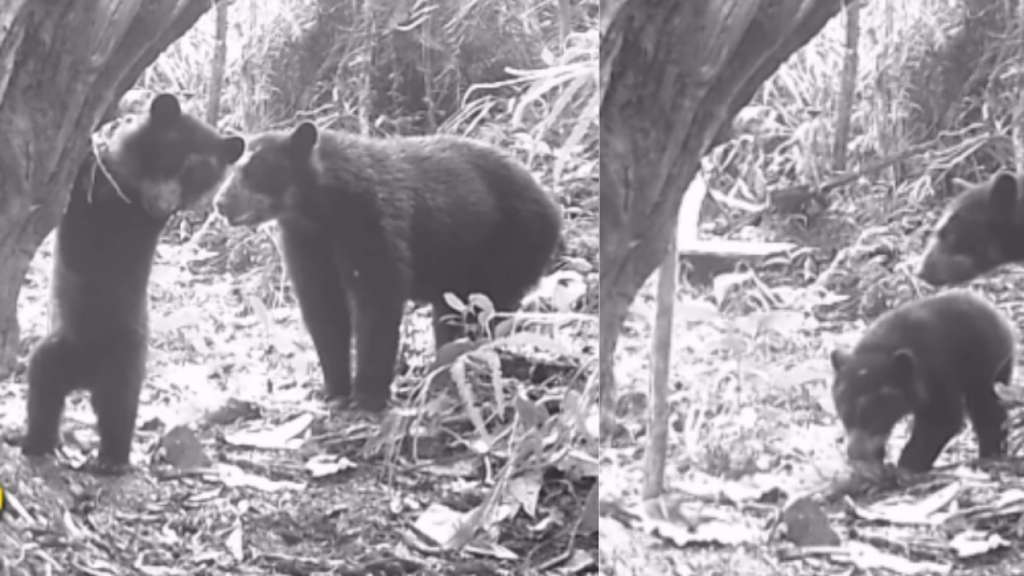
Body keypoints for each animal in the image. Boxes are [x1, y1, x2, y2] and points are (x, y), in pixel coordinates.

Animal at [21, 93, 245, 475]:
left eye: (198, 177)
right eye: (169, 159)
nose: (163, 205)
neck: (132, 189)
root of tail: (86, 374)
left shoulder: (125, 224)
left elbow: (89, 230)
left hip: (125, 357)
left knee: (118, 406)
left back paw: (111, 459)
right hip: (62, 348)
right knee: (44, 387)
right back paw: (40, 443)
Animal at [213, 122, 562, 412]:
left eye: (259, 167)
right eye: (233, 169)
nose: (220, 203)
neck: (320, 211)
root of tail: (552, 206)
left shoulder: (373, 220)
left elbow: (377, 300)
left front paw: (367, 395)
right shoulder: (306, 243)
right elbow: (323, 308)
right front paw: (334, 390)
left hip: (510, 245)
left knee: (488, 313)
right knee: (449, 318)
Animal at [829, 291, 1014, 473]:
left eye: (872, 417)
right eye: (844, 416)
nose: (855, 454)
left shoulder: (939, 371)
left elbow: (942, 418)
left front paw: (907, 465)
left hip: (986, 363)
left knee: (986, 408)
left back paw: (991, 453)